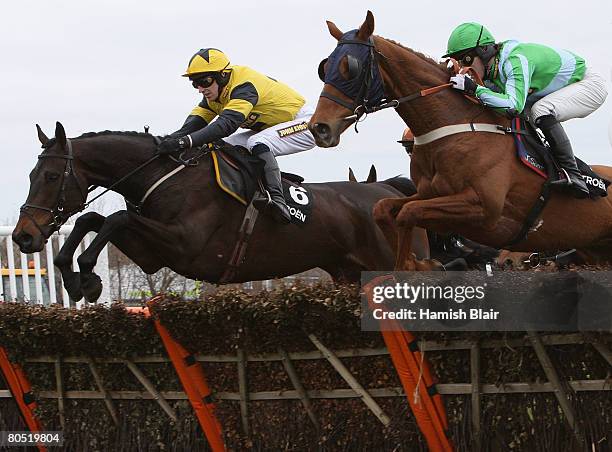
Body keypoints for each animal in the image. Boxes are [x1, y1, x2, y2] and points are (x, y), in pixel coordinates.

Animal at [308, 10, 612, 270]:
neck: (455, 127)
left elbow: (408, 213)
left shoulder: (484, 209)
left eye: (350, 67)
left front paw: (415, 264)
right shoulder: (430, 194)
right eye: (325, 67)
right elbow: (384, 208)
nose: (319, 128)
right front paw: (415, 262)